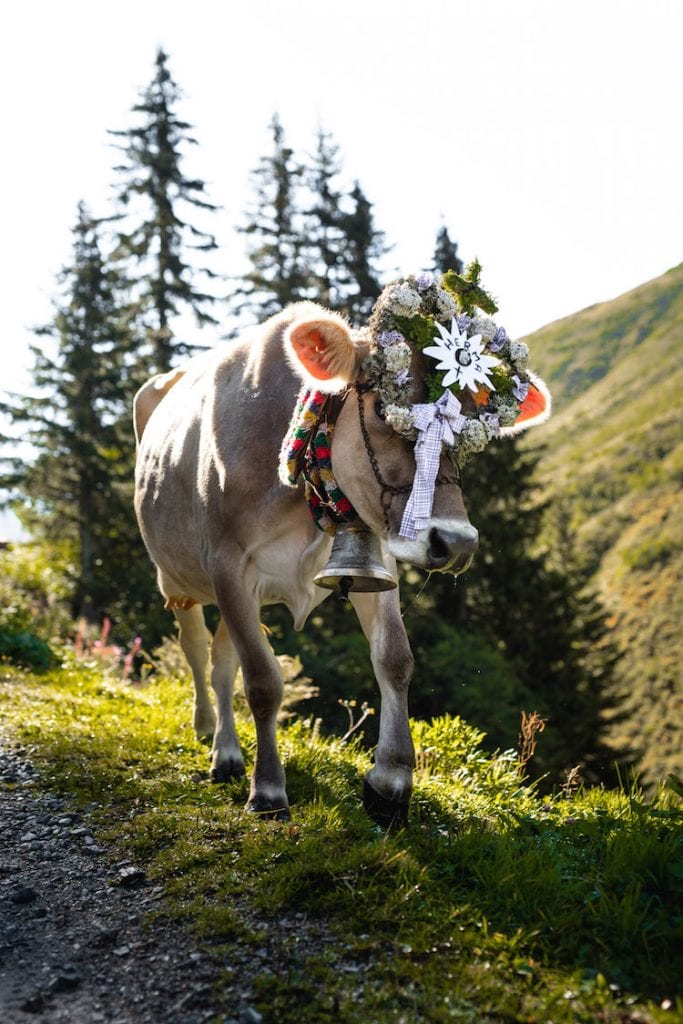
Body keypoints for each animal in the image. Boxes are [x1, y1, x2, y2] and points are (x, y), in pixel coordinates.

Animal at [135, 284, 548, 827]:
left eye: (470, 430)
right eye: (384, 412)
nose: (456, 543)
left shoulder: (377, 560)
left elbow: (394, 658)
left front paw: (391, 782)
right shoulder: (227, 564)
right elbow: (263, 680)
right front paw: (268, 790)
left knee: (223, 659)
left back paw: (227, 750)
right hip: (177, 578)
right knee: (198, 650)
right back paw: (210, 734)